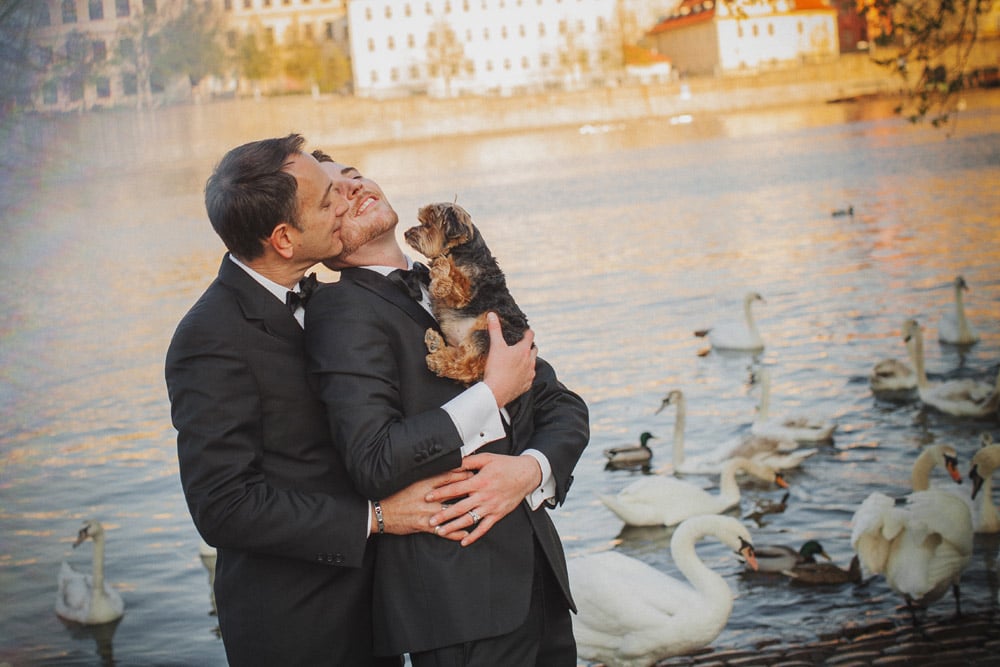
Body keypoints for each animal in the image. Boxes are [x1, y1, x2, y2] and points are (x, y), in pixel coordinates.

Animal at [406, 201, 532, 384]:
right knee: (462, 357)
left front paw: (441, 271)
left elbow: (454, 273)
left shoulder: (465, 294)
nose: (406, 233)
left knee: (468, 367)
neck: (461, 250)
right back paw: (435, 344)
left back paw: (439, 361)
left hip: (486, 331)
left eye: (428, 224)